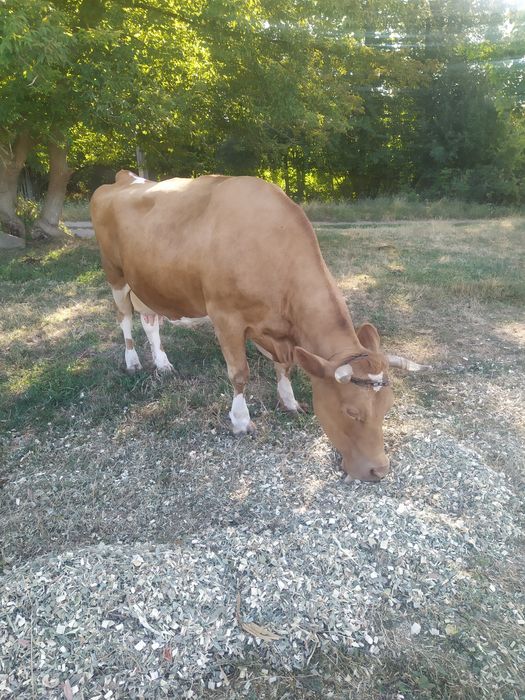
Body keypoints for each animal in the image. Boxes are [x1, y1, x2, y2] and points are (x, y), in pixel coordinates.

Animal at [91, 171, 429, 482]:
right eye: (351, 411)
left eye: (387, 408)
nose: (379, 471)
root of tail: (125, 177)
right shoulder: (225, 316)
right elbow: (240, 373)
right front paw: (241, 421)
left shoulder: (277, 330)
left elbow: (285, 366)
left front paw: (289, 401)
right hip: (115, 274)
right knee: (124, 319)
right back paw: (133, 361)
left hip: (148, 282)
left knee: (150, 322)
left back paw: (162, 364)